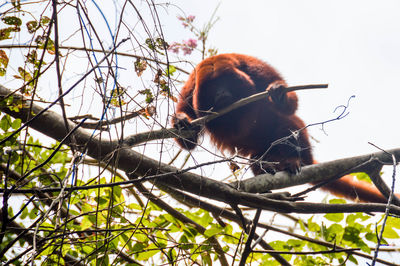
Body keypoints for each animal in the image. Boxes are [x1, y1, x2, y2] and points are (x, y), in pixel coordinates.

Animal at [173, 54, 390, 204]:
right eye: (213, 88)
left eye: (226, 82)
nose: (221, 93)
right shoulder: (190, 88)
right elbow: (188, 142)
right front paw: (181, 121)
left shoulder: (254, 67)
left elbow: (290, 103)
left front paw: (279, 94)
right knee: (256, 155)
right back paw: (264, 166)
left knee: (287, 122)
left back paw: (292, 160)